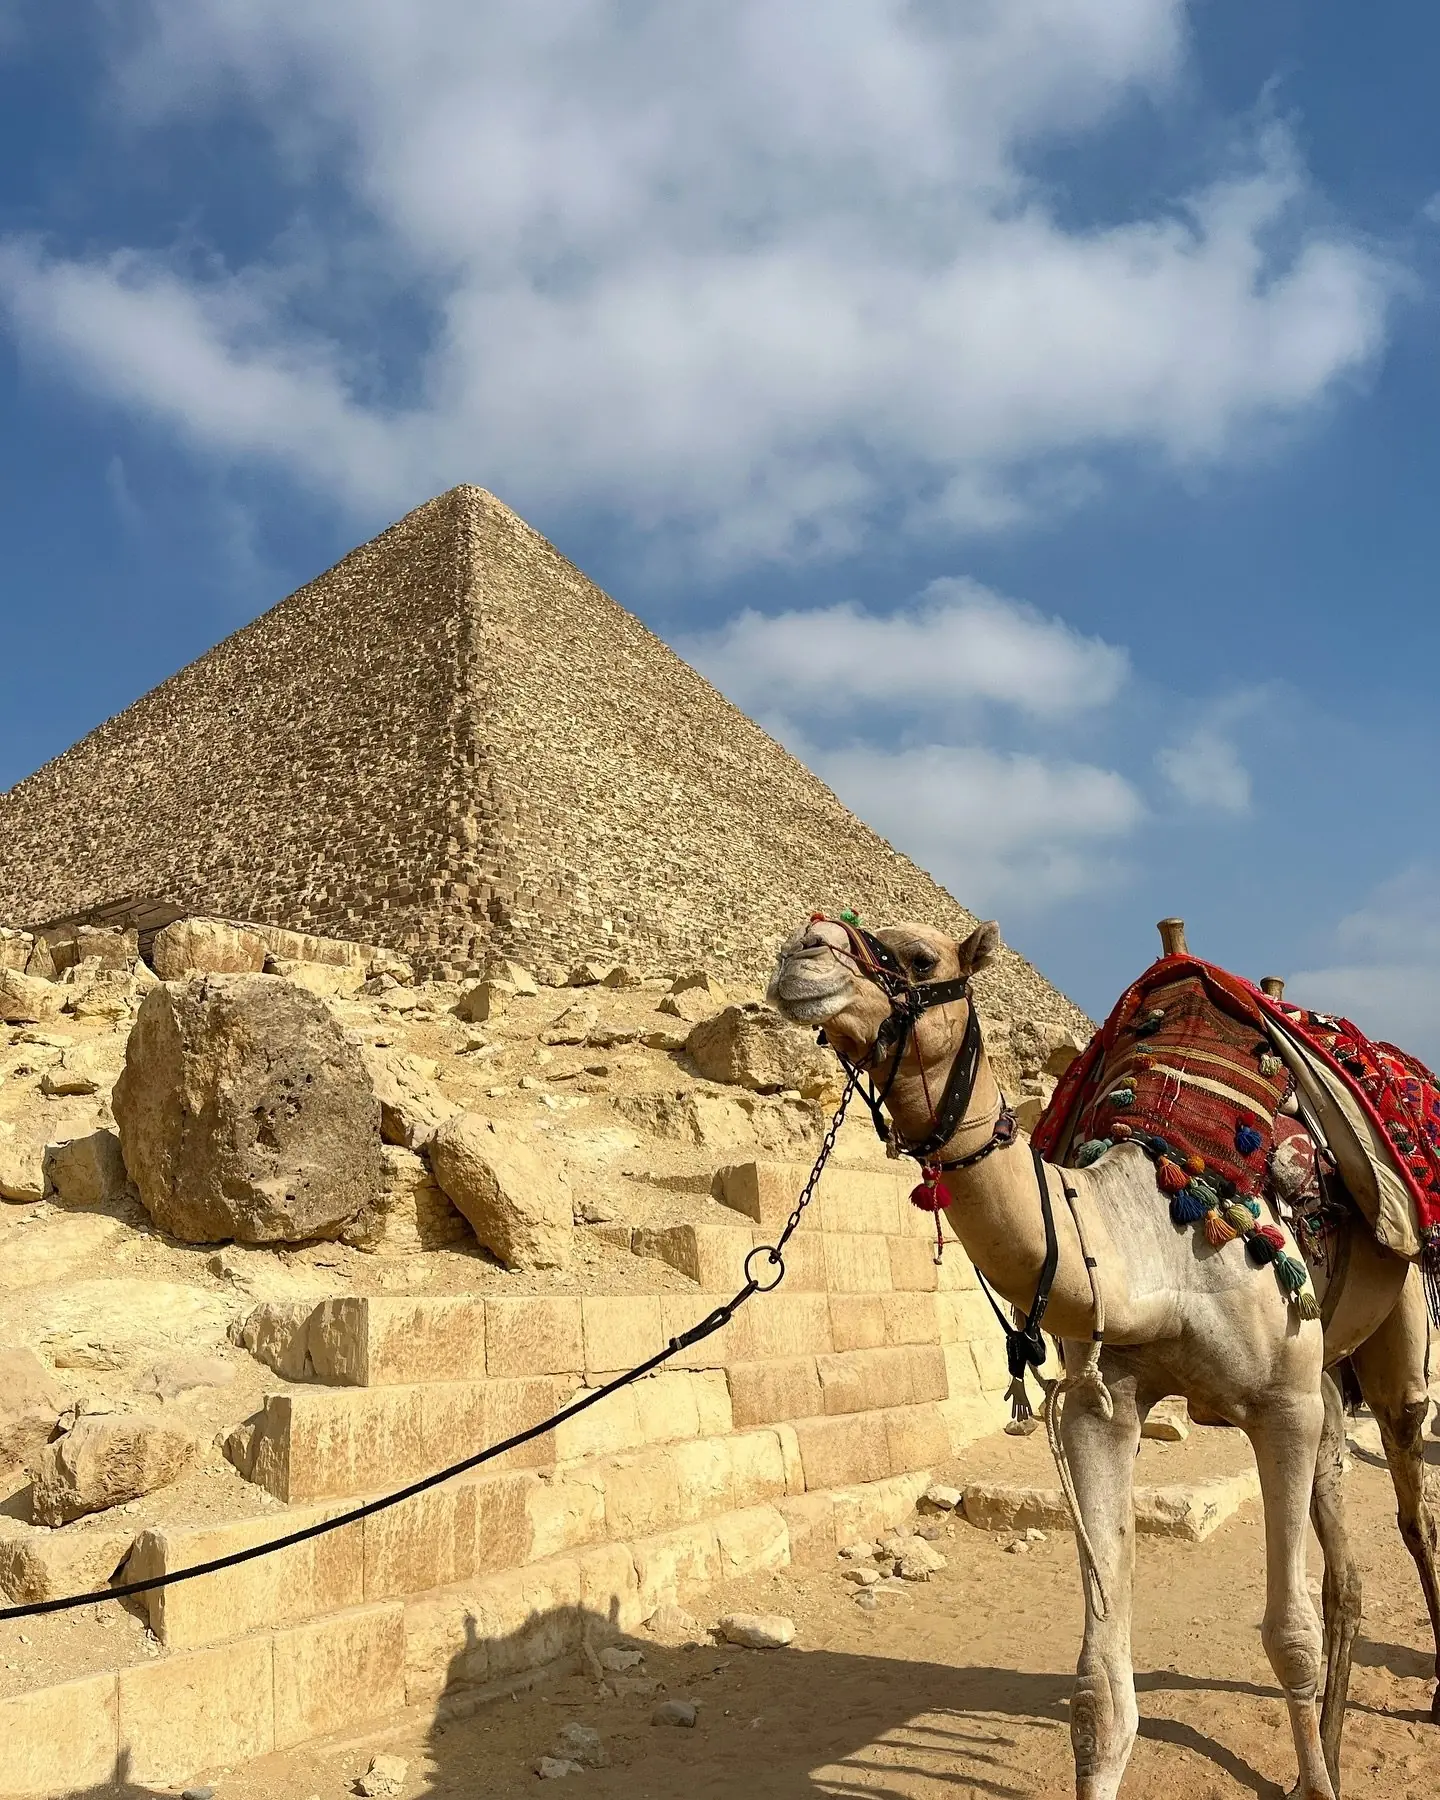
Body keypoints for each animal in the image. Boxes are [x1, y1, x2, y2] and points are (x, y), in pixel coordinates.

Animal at [768, 913, 1439, 1800]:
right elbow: (1099, 1697)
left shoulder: (1279, 1405)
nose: (797, 959)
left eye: (919, 957)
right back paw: (1321, 1751)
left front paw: (1323, 1789)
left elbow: (1286, 1636)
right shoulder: (1102, 1404)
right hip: (1327, 1374)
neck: (1159, 1241)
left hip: (1395, 1324)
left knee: (1411, 1505)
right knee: (1347, 1567)